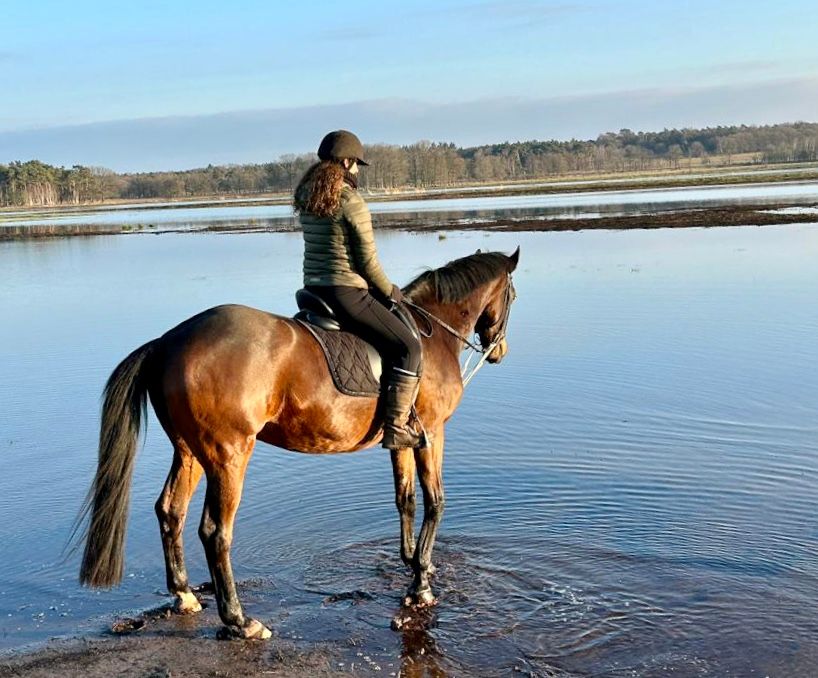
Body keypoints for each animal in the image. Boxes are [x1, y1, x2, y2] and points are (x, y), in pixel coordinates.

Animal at [76, 247, 519, 640]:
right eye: (512, 296)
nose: (499, 350)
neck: (433, 333)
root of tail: (167, 341)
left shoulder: (403, 439)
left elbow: (405, 499)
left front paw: (413, 562)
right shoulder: (433, 432)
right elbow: (435, 501)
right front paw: (421, 585)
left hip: (189, 451)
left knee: (171, 511)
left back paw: (185, 595)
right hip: (228, 455)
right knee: (215, 532)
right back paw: (239, 621)